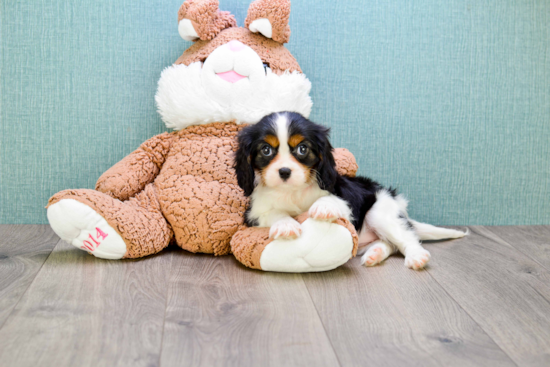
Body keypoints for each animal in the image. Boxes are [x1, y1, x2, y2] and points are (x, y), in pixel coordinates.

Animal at [235, 112, 468, 270]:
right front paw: (286, 224)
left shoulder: (346, 201)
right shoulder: (254, 213)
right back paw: (375, 253)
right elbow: (274, 213)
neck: (292, 191)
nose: (284, 171)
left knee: (406, 238)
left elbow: (332, 200)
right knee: (389, 244)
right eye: (266, 150)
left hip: (379, 212)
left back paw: (416, 257)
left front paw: (323, 208)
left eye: (302, 149)